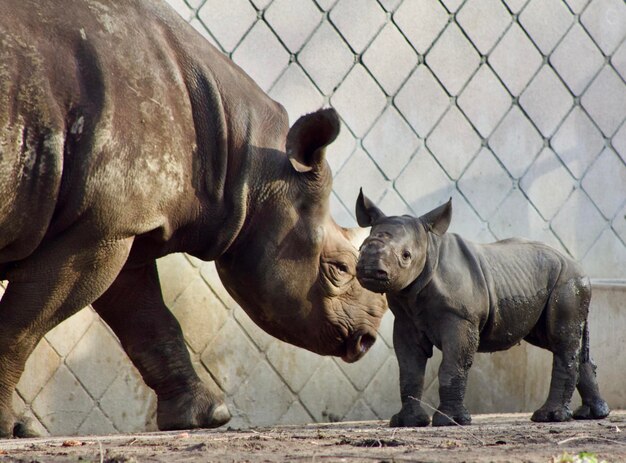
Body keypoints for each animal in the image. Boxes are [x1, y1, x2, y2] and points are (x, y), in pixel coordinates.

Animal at [354, 191, 608, 428]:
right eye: (360, 249)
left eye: (406, 256)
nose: (369, 269)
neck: (430, 252)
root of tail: (577, 263)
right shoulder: (406, 320)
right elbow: (409, 369)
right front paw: (408, 422)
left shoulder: (461, 317)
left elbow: (453, 364)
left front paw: (450, 421)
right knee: (555, 340)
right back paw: (592, 414)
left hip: (567, 280)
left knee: (560, 340)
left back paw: (550, 417)